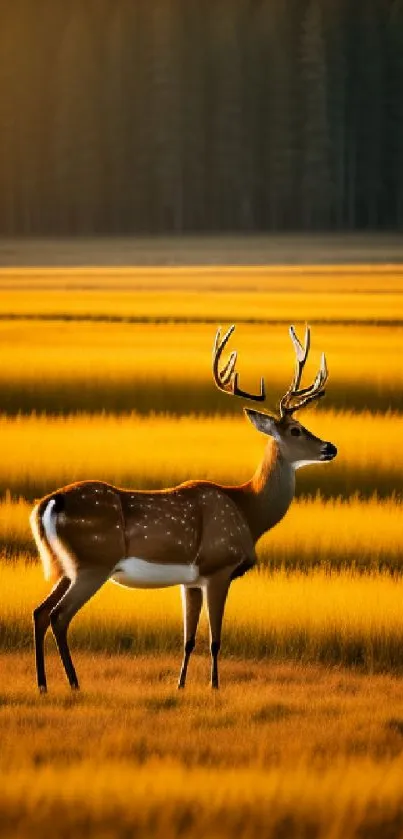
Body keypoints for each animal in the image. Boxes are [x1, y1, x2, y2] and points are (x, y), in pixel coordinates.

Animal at [30, 324, 336, 692]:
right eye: (296, 429)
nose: (330, 448)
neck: (247, 510)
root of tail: (50, 503)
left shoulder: (190, 580)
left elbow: (188, 638)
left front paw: (180, 685)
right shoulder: (218, 567)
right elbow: (215, 639)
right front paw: (214, 687)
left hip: (67, 565)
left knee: (40, 612)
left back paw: (43, 684)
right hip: (93, 563)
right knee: (59, 616)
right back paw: (74, 683)